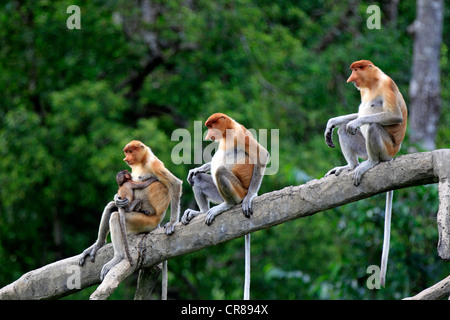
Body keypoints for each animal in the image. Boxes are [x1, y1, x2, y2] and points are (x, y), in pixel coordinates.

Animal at [79, 141, 183, 298]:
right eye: (126, 152)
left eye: (130, 151)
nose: (125, 158)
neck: (143, 160)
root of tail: (156, 222)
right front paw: (117, 198)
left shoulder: (153, 164)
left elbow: (174, 183)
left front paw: (172, 223)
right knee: (111, 208)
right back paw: (98, 245)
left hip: (143, 222)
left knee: (115, 217)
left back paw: (118, 257)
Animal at [181, 113, 268, 300]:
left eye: (210, 126)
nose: (208, 135)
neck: (228, 131)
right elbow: (201, 171)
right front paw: (196, 169)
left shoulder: (240, 134)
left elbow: (262, 155)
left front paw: (251, 197)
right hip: (217, 193)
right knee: (199, 180)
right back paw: (200, 212)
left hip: (237, 191)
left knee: (220, 171)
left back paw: (228, 205)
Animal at [324, 60, 408, 288]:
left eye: (356, 69)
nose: (350, 79)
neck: (373, 83)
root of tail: (394, 154)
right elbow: (351, 117)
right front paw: (332, 122)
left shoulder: (387, 84)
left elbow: (393, 115)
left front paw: (355, 123)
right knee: (344, 129)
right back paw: (350, 166)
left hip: (386, 148)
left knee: (371, 125)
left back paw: (370, 163)